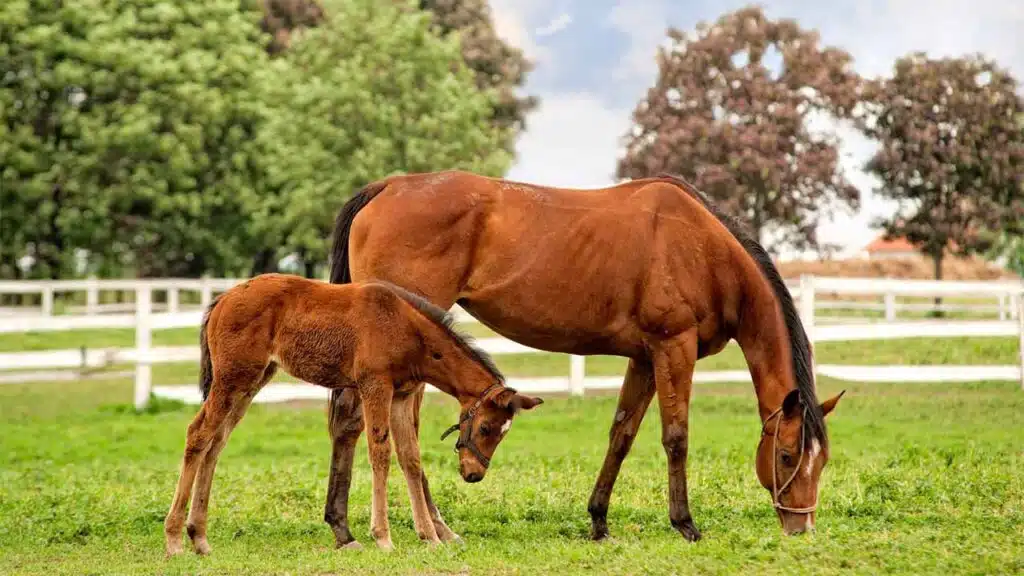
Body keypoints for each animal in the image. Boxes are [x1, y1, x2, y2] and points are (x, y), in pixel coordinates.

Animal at [162, 273, 543, 556]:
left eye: (503, 431)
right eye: (487, 427)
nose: (474, 474)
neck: (408, 329)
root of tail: (221, 300)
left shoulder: (401, 396)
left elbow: (411, 458)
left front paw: (430, 537)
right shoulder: (375, 386)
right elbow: (380, 453)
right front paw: (383, 537)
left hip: (252, 380)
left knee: (216, 442)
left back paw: (199, 538)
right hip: (233, 378)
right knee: (199, 434)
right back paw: (175, 540)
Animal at [321, 170, 846, 547]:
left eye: (821, 462)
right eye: (786, 455)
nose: (802, 528)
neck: (704, 249)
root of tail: (389, 186)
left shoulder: (645, 358)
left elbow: (622, 434)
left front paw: (598, 521)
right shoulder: (673, 348)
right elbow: (675, 437)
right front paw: (685, 523)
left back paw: (360, 527)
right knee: (389, 427)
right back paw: (410, 529)